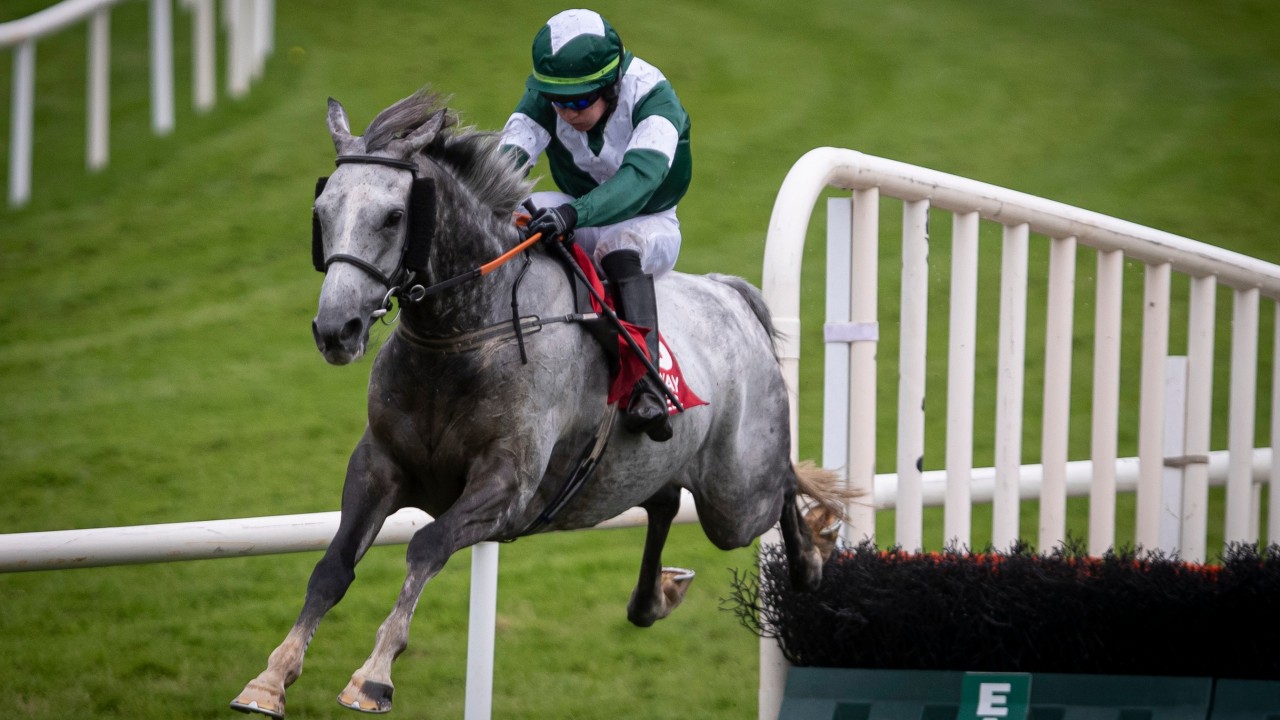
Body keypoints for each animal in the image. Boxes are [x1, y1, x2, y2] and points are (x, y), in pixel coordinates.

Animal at [230, 88, 849, 718]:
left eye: (394, 216)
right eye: (322, 211)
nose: (337, 329)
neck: (465, 333)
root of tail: (730, 292)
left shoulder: (507, 485)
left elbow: (426, 546)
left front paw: (373, 675)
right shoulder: (378, 465)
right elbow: (331, 567)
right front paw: (271, 677)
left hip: (736, 499)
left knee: (782, 485)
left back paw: (815, 553)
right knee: (664, 503)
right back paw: (655, 594)